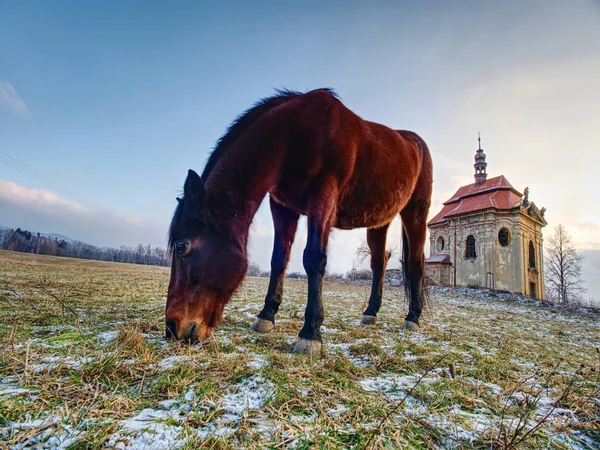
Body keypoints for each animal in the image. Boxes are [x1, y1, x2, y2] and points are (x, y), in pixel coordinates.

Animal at [166, 88, 434, 356]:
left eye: (181, 246)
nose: (172, 327)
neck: (292, 135)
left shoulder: (323, 197)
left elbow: (314, 258)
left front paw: (310, 333)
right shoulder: (282, 207)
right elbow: (279, 259)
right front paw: (266, 316)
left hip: (415, 213)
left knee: (415, 263)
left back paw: (412, 318)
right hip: (379, 222)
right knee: (379, 263)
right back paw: (370, 313)